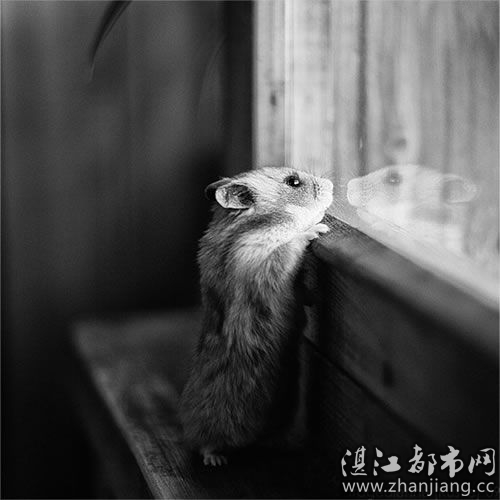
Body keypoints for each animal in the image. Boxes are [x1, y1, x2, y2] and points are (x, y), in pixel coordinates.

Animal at [179, 167, 333, 466]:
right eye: (293, 182)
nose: (331, 184)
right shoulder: (262, 257)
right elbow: (292, 245)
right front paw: (319, 229)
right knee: (204, 444)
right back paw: (215, 459)